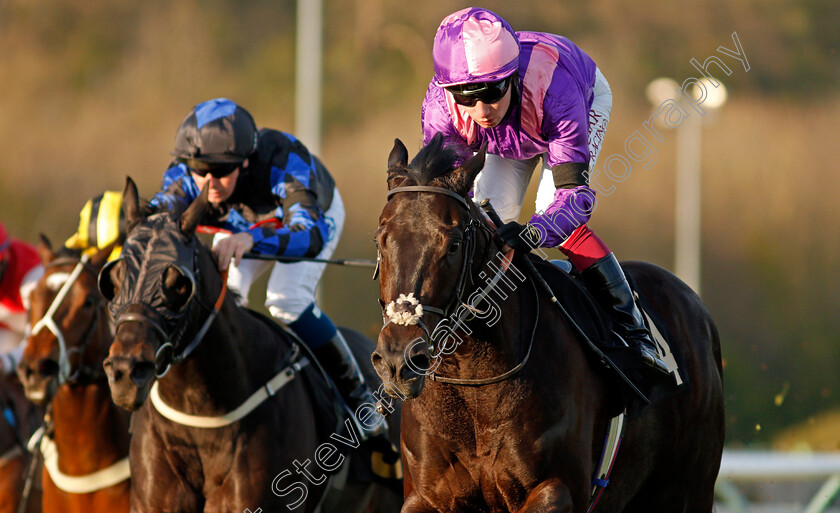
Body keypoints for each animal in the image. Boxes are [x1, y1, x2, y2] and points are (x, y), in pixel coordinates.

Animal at [370, 136, 724, 512]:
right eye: (380, 240)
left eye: (452, 245)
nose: (398, 359)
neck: (473, 388)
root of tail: (696, 306)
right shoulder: (426, 496)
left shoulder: (557, 489)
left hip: (687, 490)